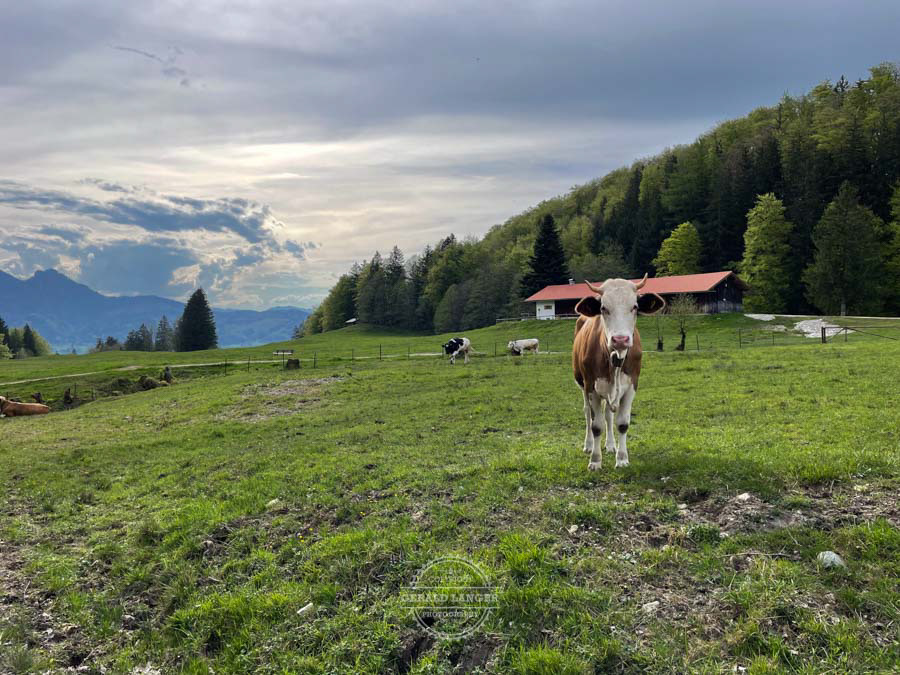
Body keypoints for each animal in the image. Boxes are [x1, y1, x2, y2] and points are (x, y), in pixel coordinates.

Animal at [572, 274, 665, 470]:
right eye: (603, 308)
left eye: (635, 307)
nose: (620, 339)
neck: (615, 357)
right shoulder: (591, 387)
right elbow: (596, 425)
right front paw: (595, 460)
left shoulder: (631, 386)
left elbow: (622, 423)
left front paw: (622, 458)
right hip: (582, 385)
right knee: (587, 414)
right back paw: (589, 445)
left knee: (608, 414)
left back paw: (610, 445)